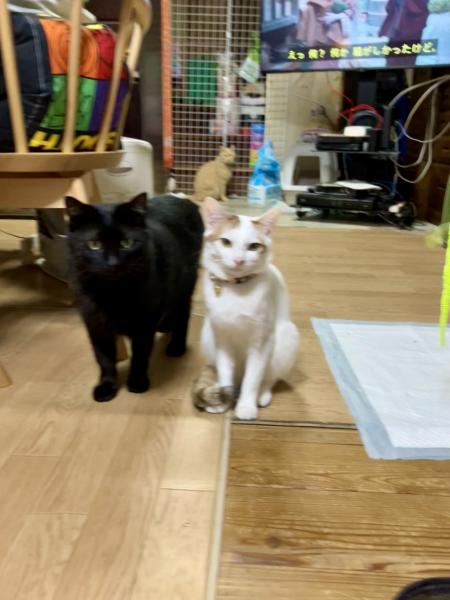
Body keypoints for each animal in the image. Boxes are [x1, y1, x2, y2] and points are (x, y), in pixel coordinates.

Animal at [65, 193, 204, 402]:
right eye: (94, 245)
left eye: (126, 243)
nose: (112, 263)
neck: (112, 293)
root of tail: (183, 199)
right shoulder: (95, 324)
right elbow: (104, 358)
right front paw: (106, 387)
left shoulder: (144, 325)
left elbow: (140, 355)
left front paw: (137, 382)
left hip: (184, 285)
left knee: (182, 315)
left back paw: (176, 347)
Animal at [199, 196, 300, 420]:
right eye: (226, 242)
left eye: (254, 246)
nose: (238, 260)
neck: (236, 288)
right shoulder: (221, 338)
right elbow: (225, 371)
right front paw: (222, 401)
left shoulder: (261, 341)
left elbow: (252, 378)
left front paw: (246, 407)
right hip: (207, 335)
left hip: (286, 337)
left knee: (269, 377)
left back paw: (262, 395)